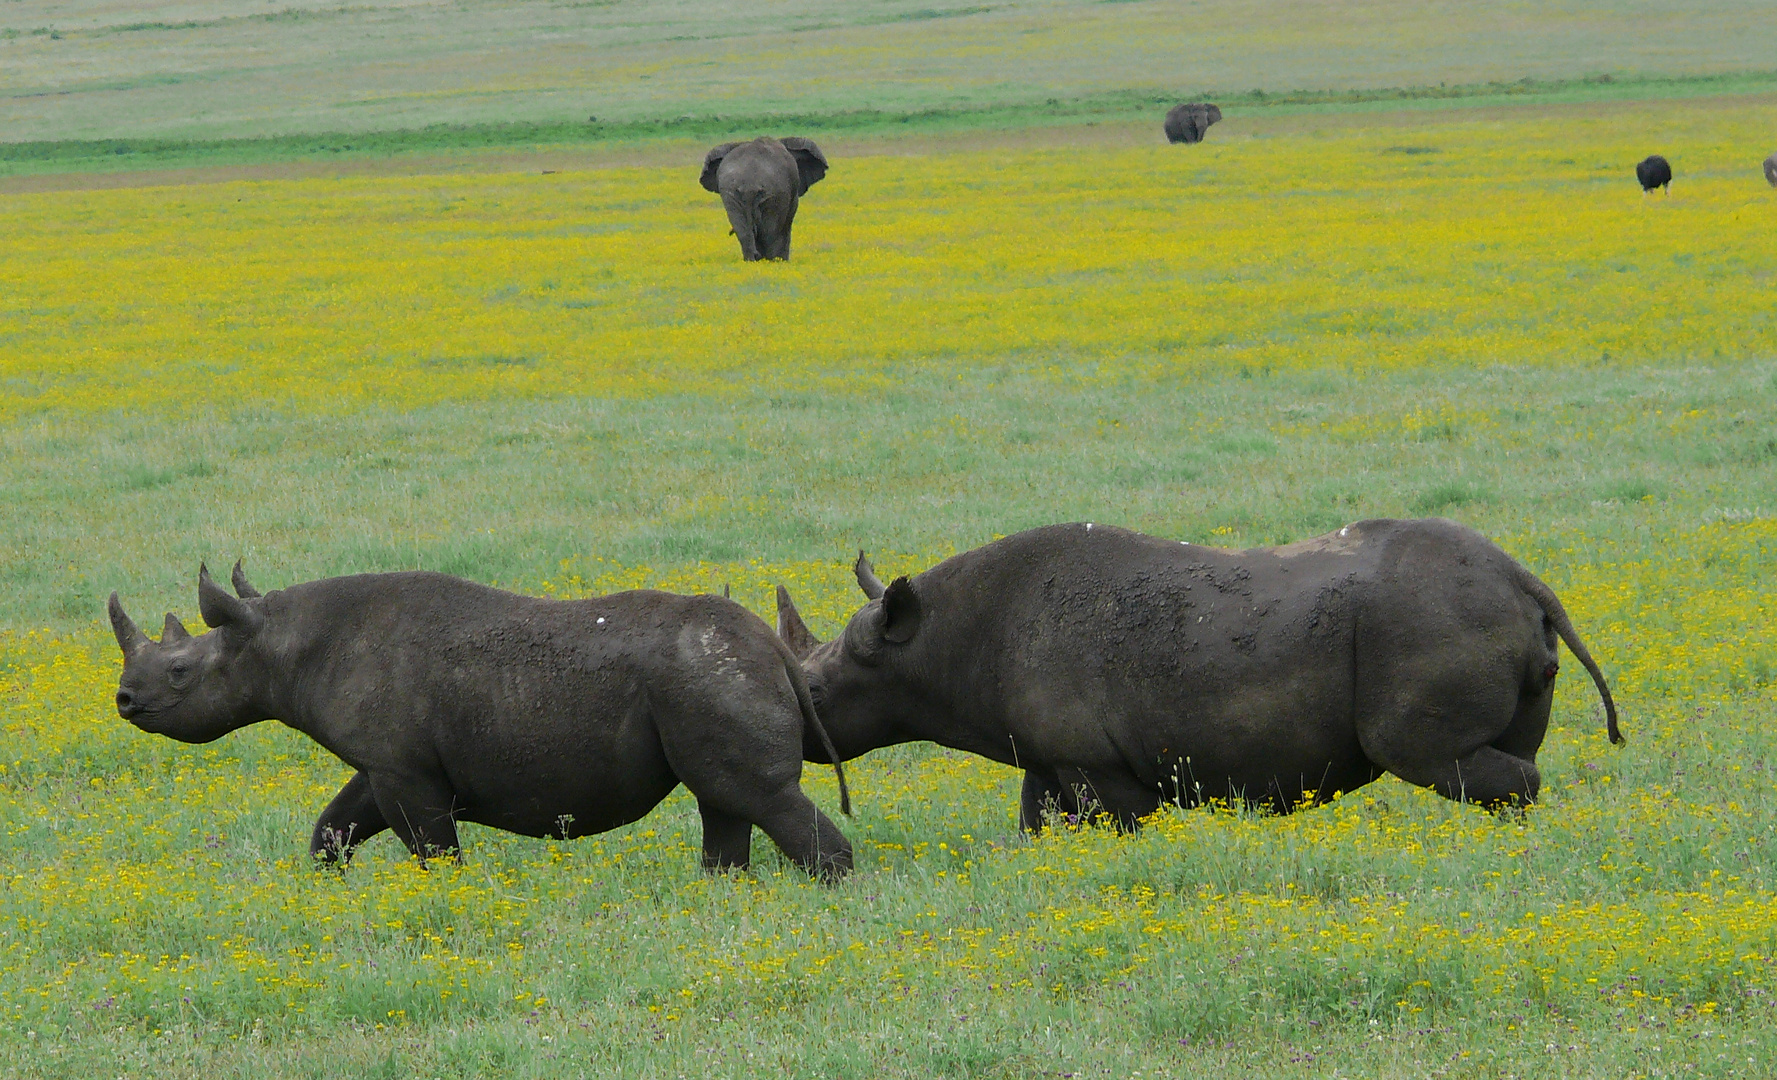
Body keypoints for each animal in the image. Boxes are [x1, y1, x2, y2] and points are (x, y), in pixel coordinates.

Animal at [696, 135, 828, 261]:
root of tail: (749, 185)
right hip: (774, 193)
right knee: (771, 230)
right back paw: (772, 260)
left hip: (732, 193)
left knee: (743, 228)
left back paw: (752, 260)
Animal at [771, 518, 1620, 831]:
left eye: (815, 692)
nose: (798, 739)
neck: (930, 640)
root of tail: (1523, 580)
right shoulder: (1049, 755)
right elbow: (1036, 822)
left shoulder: (1095, 763)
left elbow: (1120, 822)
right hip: (1474, 613)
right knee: (1509, 752)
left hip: (1428, 620)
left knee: (1421, 753)